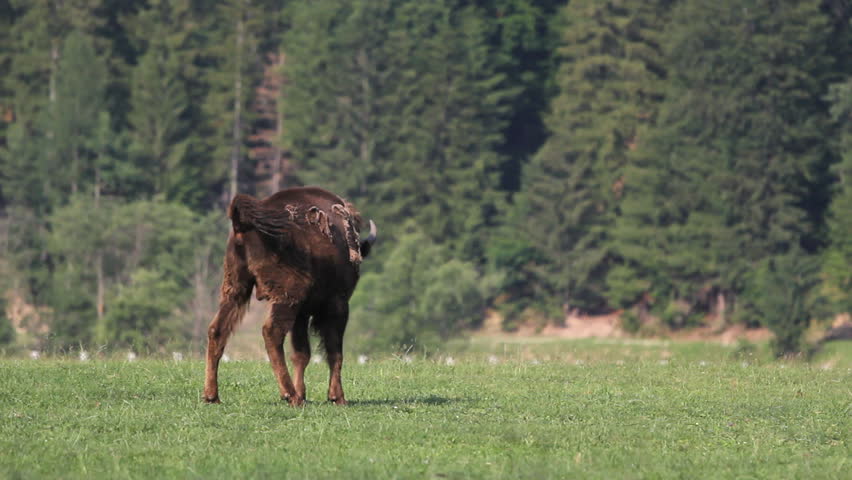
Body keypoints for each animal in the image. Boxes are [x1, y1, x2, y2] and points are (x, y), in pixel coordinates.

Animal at [203, 186, 377, 406]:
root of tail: (242, 223)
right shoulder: (337, 305)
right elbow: (334, 351)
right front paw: (337, 397)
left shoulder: (302, 313)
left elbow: (302, 353)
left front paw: (303, 393)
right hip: (286, 298)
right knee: (271, 332)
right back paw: (289, 395)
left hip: (236, 289)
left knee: (217, 330)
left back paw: (211, 395)